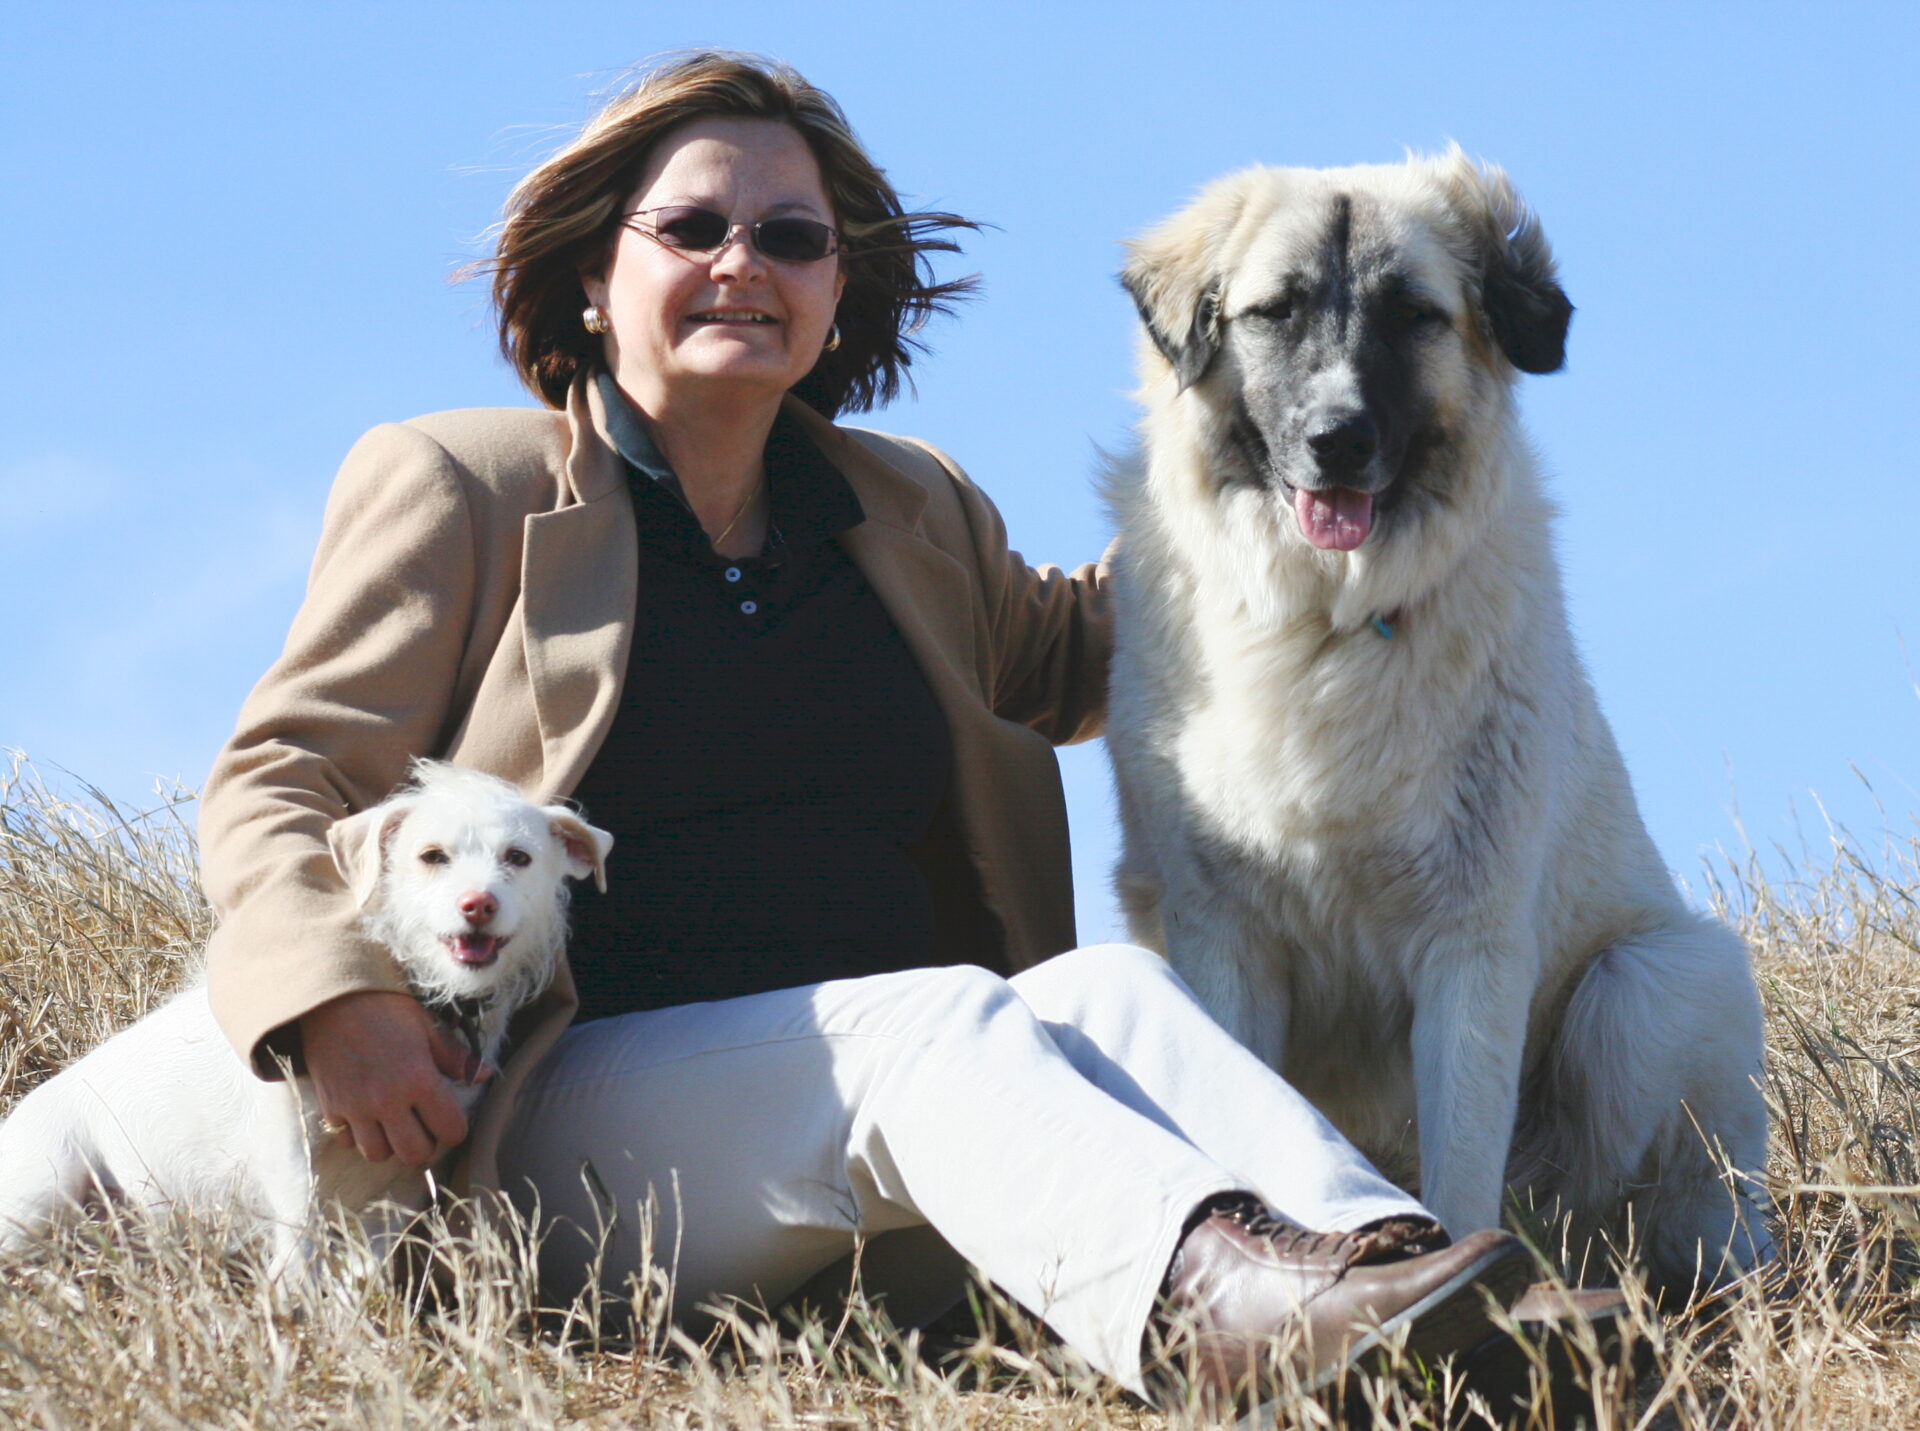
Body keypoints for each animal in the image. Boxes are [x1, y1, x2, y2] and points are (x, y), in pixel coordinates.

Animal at [0, 764, 606, 1275]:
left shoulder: (409, 1175)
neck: (430, 997)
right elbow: (298, 1249)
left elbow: (368, 1272)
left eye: (519, 858)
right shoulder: (292, 1149)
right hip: (45, 1189)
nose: (478, 904)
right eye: (433, 856)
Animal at [1105, 147, 1774, 1298]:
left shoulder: (1471, 945)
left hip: (1647, 984)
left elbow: (1463, 1160)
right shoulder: (1221, 933)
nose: (1338, 441)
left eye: (1413, 314)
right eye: (1277, 311)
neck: (1329, 625)